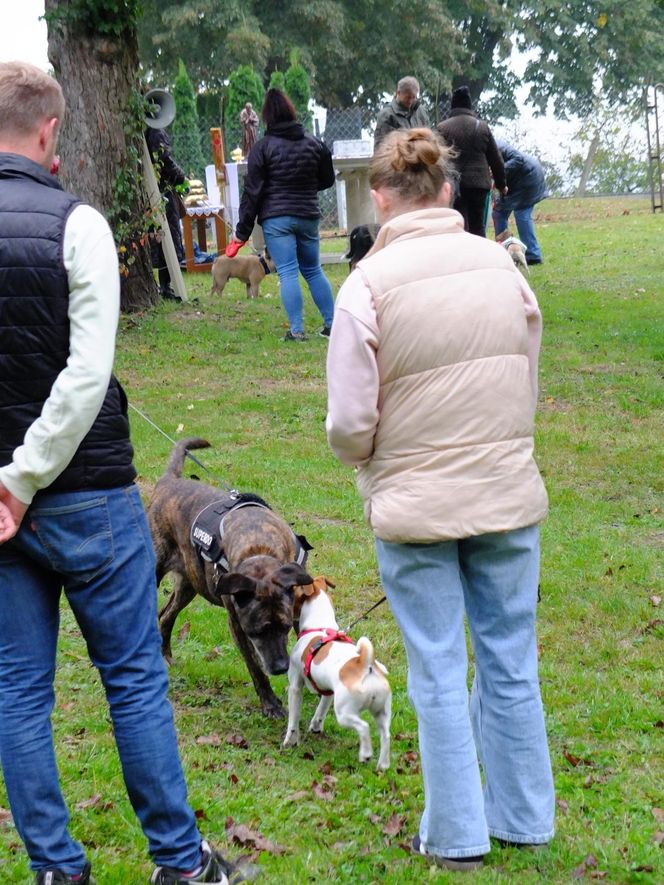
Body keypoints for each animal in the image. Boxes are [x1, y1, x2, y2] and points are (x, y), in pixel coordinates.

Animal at [147, 436, 312, 720]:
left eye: (284, 627)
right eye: (257, 631)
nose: (280, 667)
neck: (259, 549)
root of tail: (168, 481)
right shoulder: (238, 625)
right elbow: (255, 666)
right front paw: (270, 703)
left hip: (189, 584)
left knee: (166, 615)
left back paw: (166, 657)